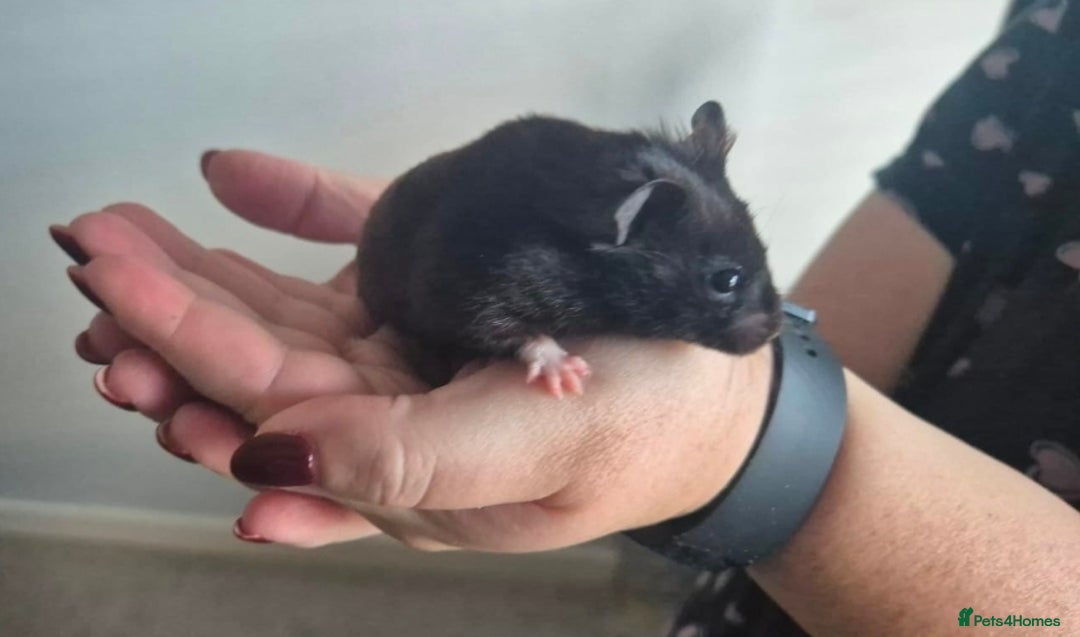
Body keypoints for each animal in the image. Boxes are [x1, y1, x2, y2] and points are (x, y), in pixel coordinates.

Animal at [357, 101, 782, 397]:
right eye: (726, 280)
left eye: (763, 245)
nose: (775, 330)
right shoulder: (468, 287)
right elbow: (509, 331)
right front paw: (569, 376)